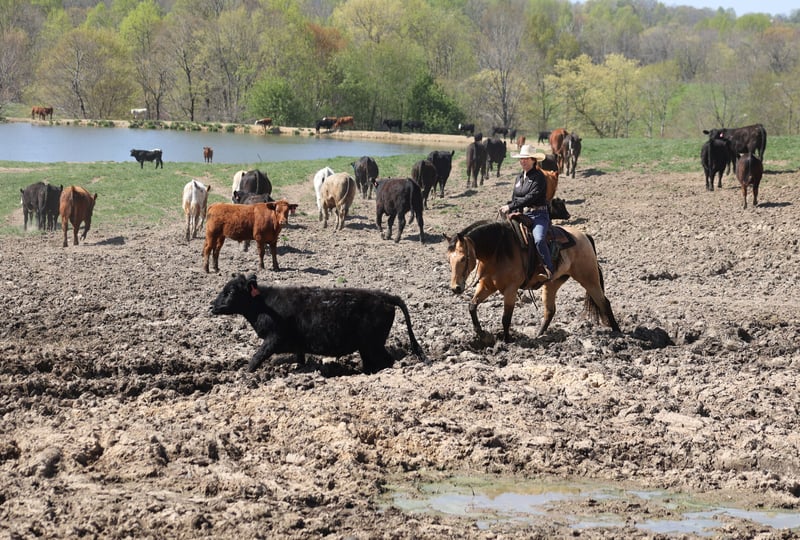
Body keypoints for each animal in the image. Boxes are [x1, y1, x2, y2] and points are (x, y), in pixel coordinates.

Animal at [210, 273, 426, 374]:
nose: (212, 306)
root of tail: (384, 296)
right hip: (367, 347)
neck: (265, 305)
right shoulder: (297, 345)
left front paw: (244, 375)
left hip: (373, 345)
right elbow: (299, 360)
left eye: (230, 291)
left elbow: (256, 359)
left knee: (388, 362)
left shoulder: (273, 338)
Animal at [445, 220, 620, 343]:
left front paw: (506, 341)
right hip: (552, 283)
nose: (456, 288)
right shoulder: (486, 286)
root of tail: (584, 236)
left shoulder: (511, 289)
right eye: (449, 259)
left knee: (604, 302)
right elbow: (472, 306)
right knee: (550, 310)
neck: (497, 251)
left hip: (589, 279)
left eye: (463, 258)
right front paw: (482, 334)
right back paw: (538, 336)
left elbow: (506, 318)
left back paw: (617, 332)